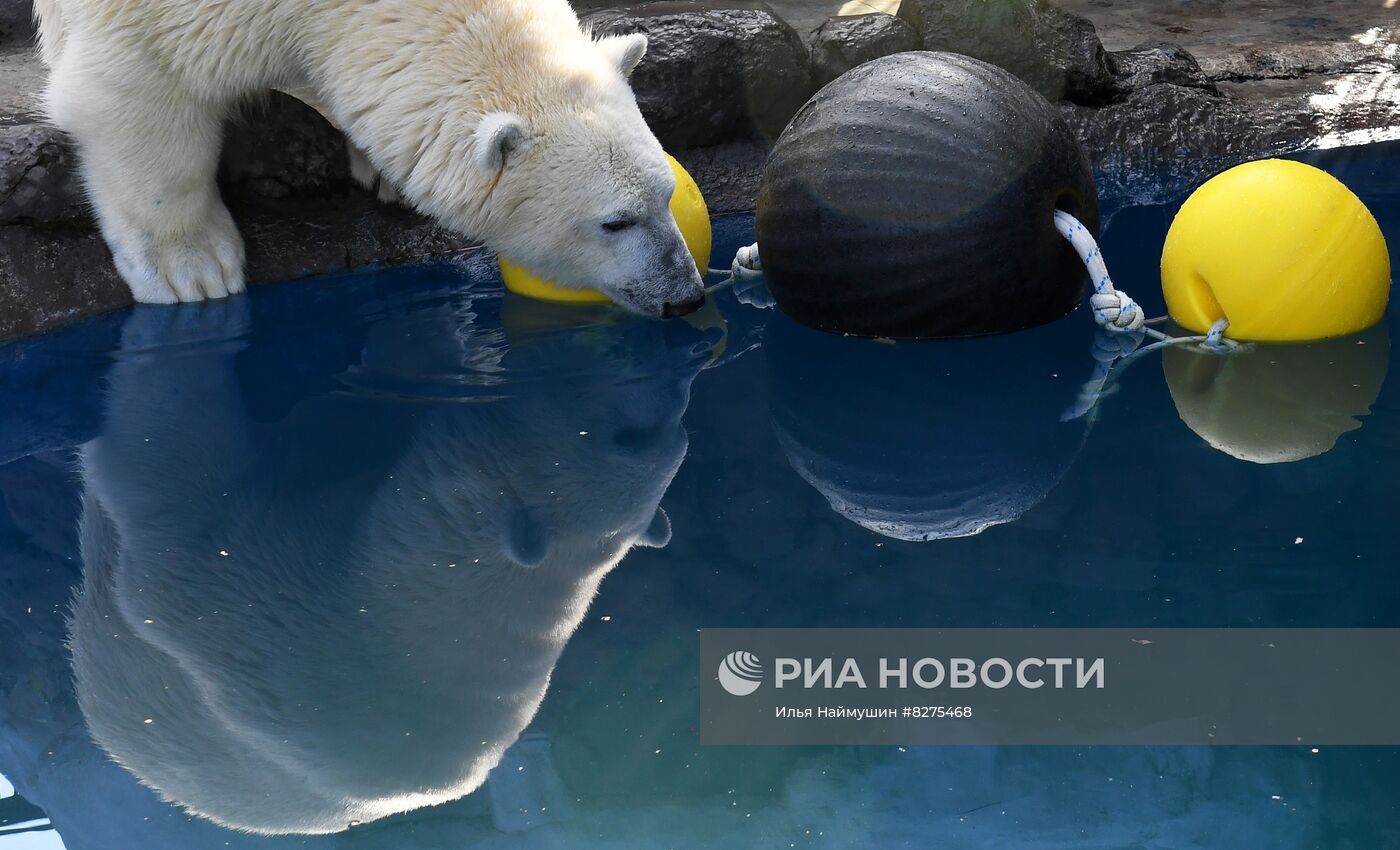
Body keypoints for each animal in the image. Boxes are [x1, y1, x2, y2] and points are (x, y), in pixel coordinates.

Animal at [30, 0, 711, 316]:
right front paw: (190, 268)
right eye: (614, 222)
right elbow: (140, 84)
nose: (684, 296)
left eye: (669, 195)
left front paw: (379, 168)